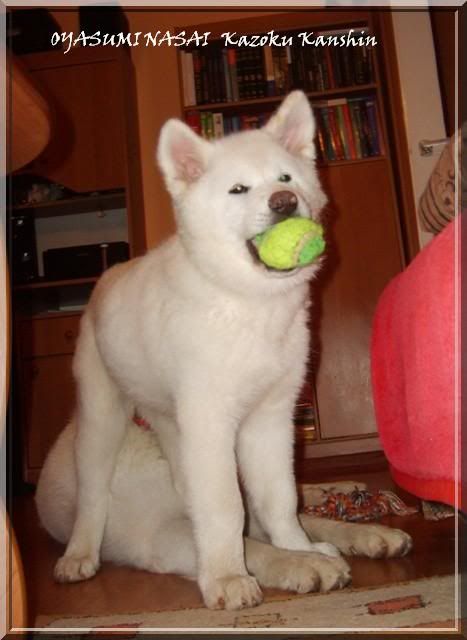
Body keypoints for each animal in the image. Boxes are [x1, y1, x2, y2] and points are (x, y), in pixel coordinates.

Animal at [35, 91, 412, 611]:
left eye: (285, 178)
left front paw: (302, 549)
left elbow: (278, 500)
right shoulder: (209, 424)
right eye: (238, 190)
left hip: (174, 423)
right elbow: (225, 510)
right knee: (94, 496)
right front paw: (232, 577)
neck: (248, 303)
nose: (284, 202)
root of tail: (108, 275)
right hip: (101, 415)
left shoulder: (270, 419)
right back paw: (79, 556)